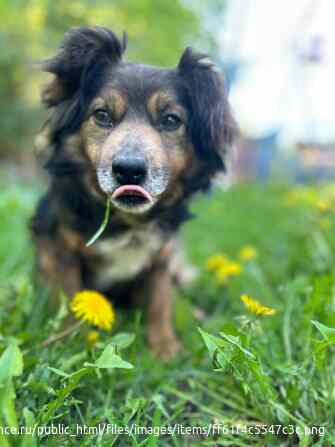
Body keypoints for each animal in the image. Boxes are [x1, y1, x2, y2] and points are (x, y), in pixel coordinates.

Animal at [32, 26, 236, 360]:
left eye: (171, 120)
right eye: (102, 115)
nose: (129, 170)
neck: (126, 220)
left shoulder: (163, 254)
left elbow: (160, 299)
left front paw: (165, 347)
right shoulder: (57, 246)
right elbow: (69, 292)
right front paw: (67, 342)